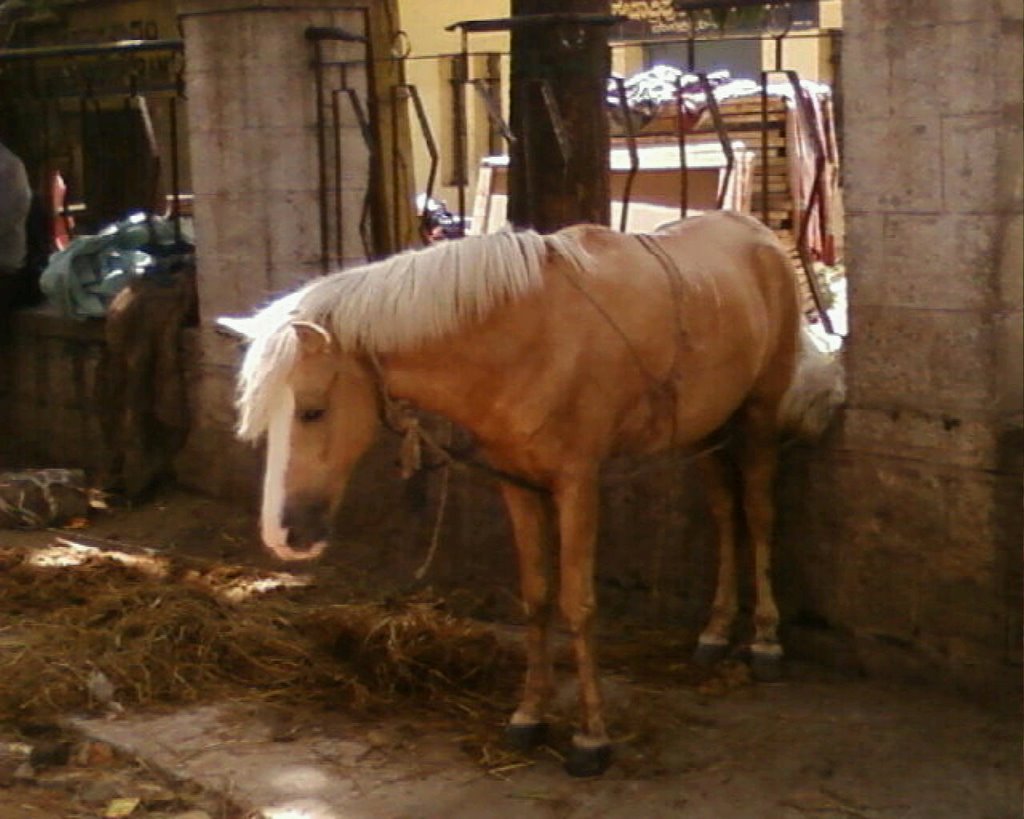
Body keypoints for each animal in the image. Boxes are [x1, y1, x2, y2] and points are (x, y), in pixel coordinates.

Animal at [222, 209, 839, 773]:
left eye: (313, 410)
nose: (281, 535)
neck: (523, 339)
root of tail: (758, 234)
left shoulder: (576, 484)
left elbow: (578, 604)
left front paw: (592, 738)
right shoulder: (518, 485)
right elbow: (537, 596)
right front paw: (529, 715)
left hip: (757, 418)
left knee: (757, 513)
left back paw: (765, 641)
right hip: (708, 429)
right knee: (724, 514)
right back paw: (714, 632)